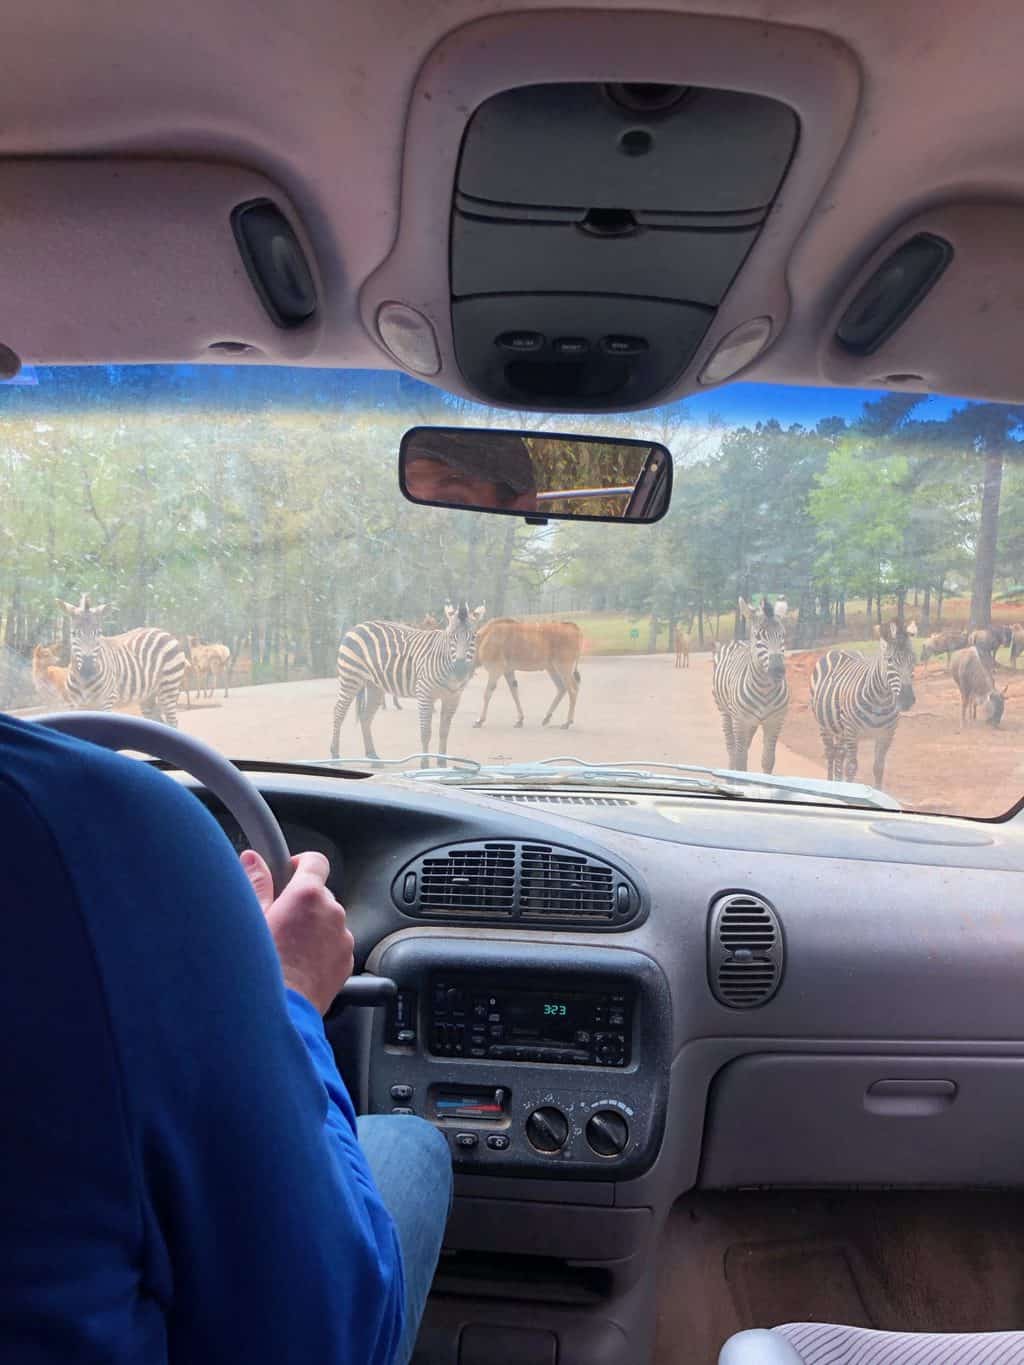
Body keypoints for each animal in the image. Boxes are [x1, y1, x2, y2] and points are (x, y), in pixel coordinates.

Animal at [59, 597, 191, 726]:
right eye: (74, 633)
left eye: (99, 633)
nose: (88, 669)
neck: (84, 682)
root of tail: (163, 632)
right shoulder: (75, 705)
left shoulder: (107, 700)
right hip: (148, 696)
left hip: (169, 687)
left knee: (173, 722)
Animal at [330, 600, 486, 769]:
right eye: (451, 637)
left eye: (474, 637)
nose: (460, 670)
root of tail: (358, 626)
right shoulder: (424, 693)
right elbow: (426, 732)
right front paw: (424, 764)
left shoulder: (453, 697)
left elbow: (444, 732)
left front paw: (442, 763)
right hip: (351, 677)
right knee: (338, 712)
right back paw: (335, 756)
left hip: (374, 686)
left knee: (365, 717)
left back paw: (373, 757)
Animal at [715, 595, 791, 775]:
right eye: (758, 636)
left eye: (782, 635)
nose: (778, 671)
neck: (764, 689)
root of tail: (738, 640)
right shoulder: (741, 720)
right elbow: (741, 760)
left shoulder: (775, 721)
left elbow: (768, 760)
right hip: (726, 712)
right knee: (732, 749)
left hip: (752, 723)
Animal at [813, 619, 917, 791]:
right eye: (889, 660)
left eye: (914, 660)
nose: (907, 700)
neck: (880, 701)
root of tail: (839, 649)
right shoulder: (852, 731)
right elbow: (851, 767)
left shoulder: (886, 734)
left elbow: (879, 768)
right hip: (825, 726)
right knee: (831, 754)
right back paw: (829, 783)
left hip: (841, 731)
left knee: (839, 755)